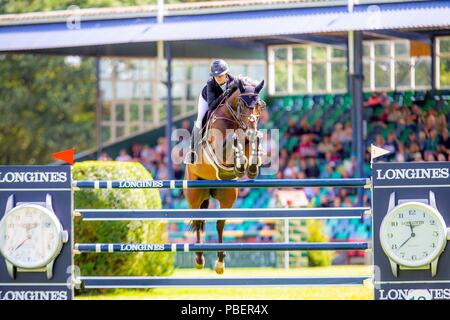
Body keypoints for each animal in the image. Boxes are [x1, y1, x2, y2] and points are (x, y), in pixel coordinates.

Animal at [183, 76, 266, 274]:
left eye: (259, 104)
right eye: (242, 104)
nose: (250, 128)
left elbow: (253, 141)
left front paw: (251, 165)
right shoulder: (217, 145)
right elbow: (231, 141)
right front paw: (240, 160)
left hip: (227, 196)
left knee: (220, 223)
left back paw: (220, 262)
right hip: (194, 195)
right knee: (198, 221)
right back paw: (199, 259)